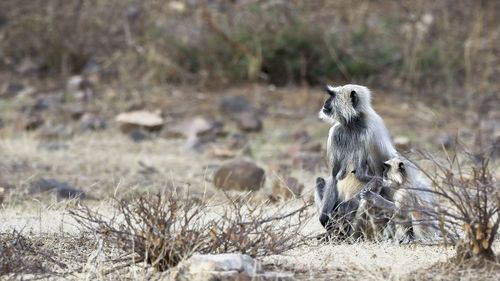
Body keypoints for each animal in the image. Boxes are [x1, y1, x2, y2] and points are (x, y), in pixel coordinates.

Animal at [314, 84, 396, 237]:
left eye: (332, 96)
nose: (325, 103)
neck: (353, 125)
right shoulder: (335, 133)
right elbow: (334, 175)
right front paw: (325, 218)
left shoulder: (372, 134)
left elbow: (379, 177)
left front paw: (346, 207)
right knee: (319, 180)